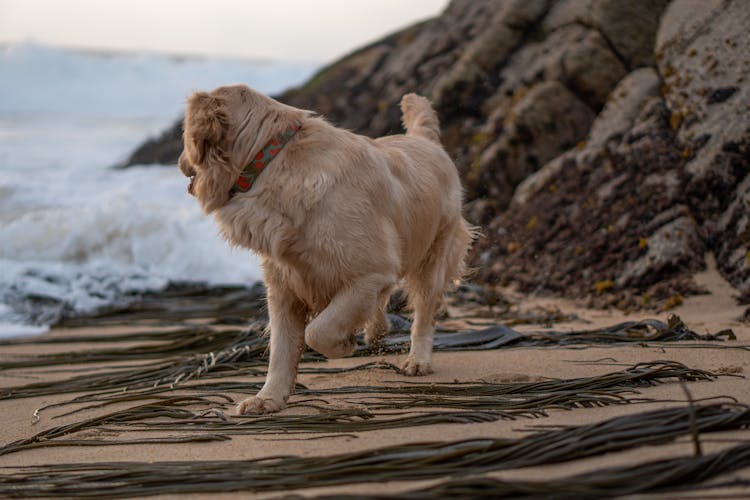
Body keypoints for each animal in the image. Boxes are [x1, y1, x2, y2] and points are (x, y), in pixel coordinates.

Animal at [179, 85, 472, 414]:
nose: (179, 162)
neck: (272, 160)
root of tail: (426, 141)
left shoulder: (369, 272)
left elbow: (317, 331)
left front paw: (343, 345)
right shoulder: (284, 284)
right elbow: (281, 349)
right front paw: (268, 398)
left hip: (434, 253)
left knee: (424, 312)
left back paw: (417, 360)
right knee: (382, 303)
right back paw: (377, 330)